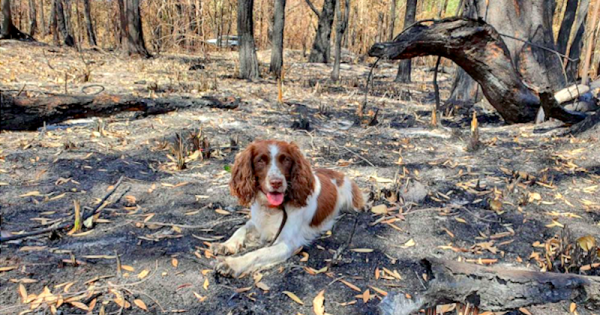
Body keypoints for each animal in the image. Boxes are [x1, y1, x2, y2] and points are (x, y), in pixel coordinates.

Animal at [213, 140, 364, 276]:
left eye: (286, 159)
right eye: (260, 160)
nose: (276, 182)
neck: (273, 209)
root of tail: (334, 172)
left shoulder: (287, 243)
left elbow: (258, 253)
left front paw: (232, 263)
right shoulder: (257, 223)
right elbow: (241, 228)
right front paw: (227, 244)